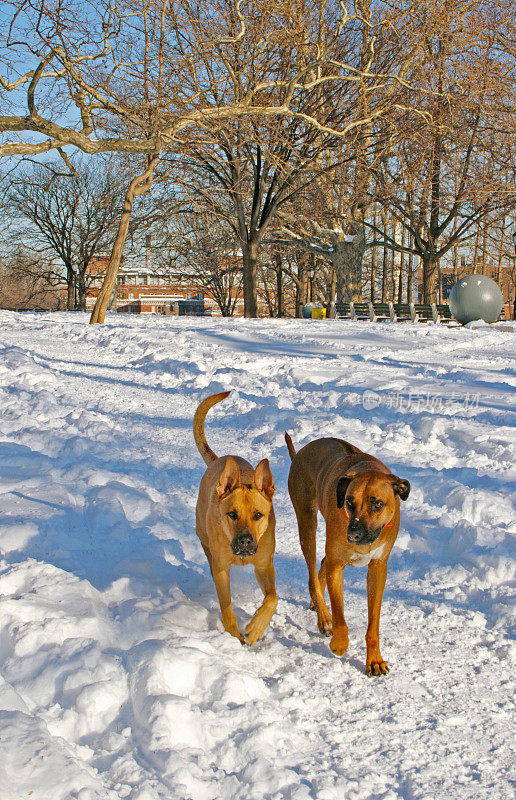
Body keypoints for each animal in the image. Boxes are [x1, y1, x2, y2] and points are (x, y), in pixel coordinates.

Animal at [192, 390, 276, 648]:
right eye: (232, 514)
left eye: (258, 515)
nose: (245, 541)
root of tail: (219, 460)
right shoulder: (222, 570)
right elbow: (227, 608)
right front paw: (233, 636)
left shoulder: (264, 565)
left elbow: (272, 599)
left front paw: (256, 628)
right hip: (203, 535)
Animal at [284, 434, 410, 672]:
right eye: (349, 502)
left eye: (378, 504)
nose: (353, 535)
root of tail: (300, 453)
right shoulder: (337, 566)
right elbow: (340, 615)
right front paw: (339, 643)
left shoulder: (378, 567)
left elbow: (373, 623)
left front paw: (374, 660)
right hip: (307, 523)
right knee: (313, 573)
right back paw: (324, 616)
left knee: (322, 564)